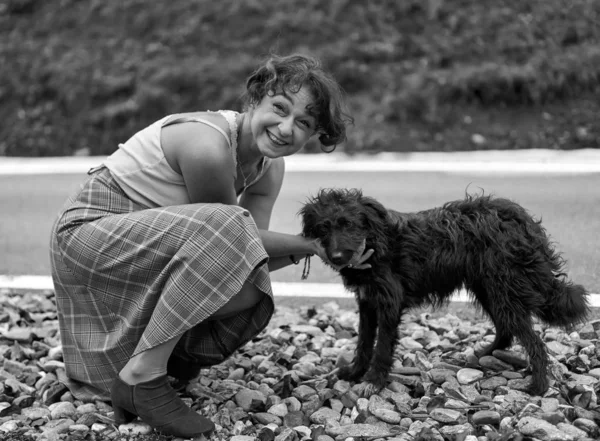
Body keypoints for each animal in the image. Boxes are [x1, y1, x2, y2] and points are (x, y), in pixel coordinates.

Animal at [300, 187, 592, 394]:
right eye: (323, 227)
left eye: (348, 224)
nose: (337, 257)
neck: (375, 242)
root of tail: (522, 220)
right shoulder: (367, 302)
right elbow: (363, 342)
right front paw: (354, 372)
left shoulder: (389, 304)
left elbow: (381, 346)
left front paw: (374, 381)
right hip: (488, 288)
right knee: (506, 330)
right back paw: (482, 355)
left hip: (503, 289)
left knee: (534, 342)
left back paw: (538, 386)